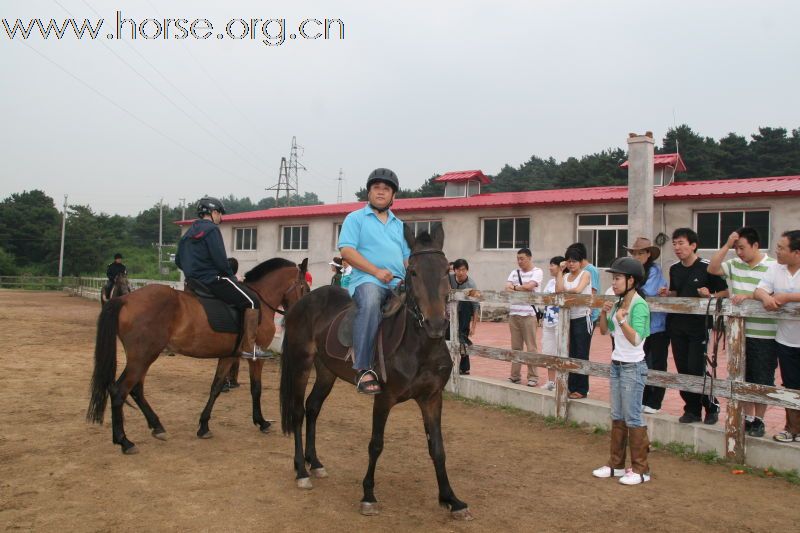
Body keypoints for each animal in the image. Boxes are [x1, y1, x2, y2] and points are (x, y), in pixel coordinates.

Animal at [88, 258, 310, 454]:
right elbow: (256, 389)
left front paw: (203, 426)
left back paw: (157, 427)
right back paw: (125, 441)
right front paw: (262, 422)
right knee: (119, 391)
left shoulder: (229, 356)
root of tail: (125, 299)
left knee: (135, 390)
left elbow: (216, 387)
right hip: (143, 357)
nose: (302, 312)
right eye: (306, 288)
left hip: (143, 357)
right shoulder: (254, 356)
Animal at [280, 225, 472, 520]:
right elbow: (376, 444)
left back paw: (316, 463)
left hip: (326, 371)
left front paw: (451, 499)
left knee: (313, 408)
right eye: (413, 271)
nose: (437, 324)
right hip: (302, 364)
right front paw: (368, 495)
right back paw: (302, 470)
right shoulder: (384, 398)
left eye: (445, 270)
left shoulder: (431, 398)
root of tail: (301, 302)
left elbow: (438, 448)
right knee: (299, 412)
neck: (419, 347)